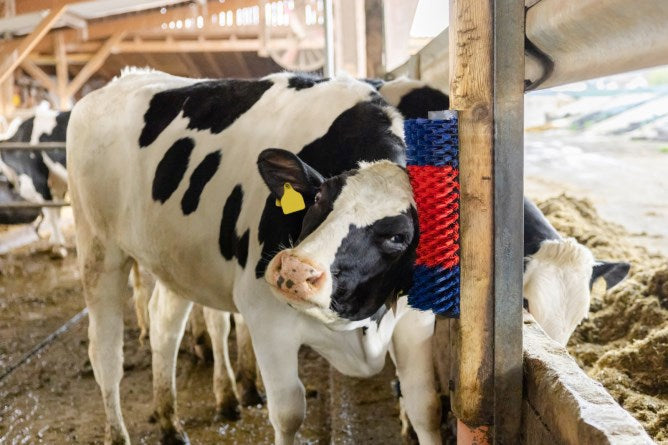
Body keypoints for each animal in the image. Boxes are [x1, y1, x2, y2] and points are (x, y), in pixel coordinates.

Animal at [0, 106, 69, 257]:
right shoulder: (55, 181)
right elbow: (57, 210)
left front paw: (59, 247)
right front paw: (55, 243)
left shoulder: (39, 184)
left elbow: (52, 213)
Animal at [67, 70, 442, 445]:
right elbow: (289, 414)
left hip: (176, 259)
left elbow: (425, 407)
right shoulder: (264, 313)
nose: (295, 268)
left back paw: (170, 423)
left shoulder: (415, 323)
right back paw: (120, 431)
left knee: (164, 325)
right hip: (98, 249)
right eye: (319, 198)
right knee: (105, 353)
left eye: (397, 237)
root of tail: (122, 79)